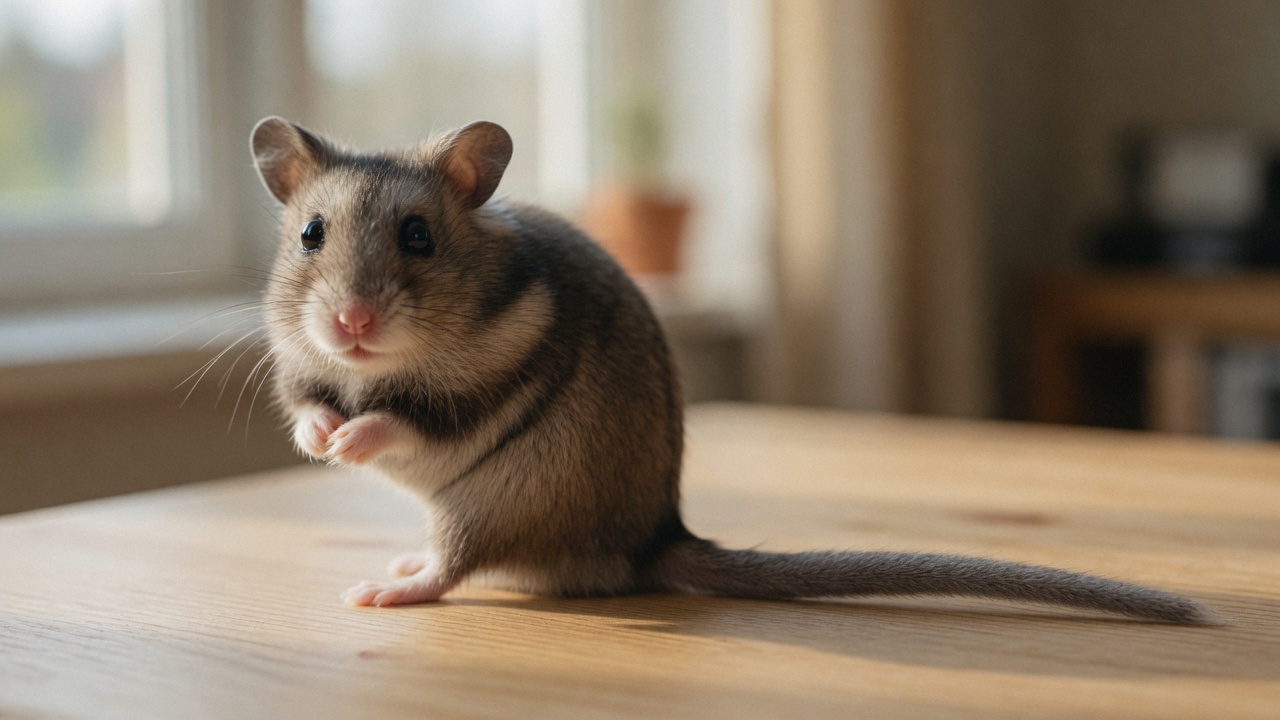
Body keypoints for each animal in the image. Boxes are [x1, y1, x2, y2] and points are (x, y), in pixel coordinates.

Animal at [250, 116, 1210, 623]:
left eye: (418, 236)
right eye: (311, 234)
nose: (351, 324)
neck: (371, 366)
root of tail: (656, 543)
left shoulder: (483, 384)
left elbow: (410, 416)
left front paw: (353, 439)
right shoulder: (298, 367)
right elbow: (304, 404)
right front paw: (322, 435)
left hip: (491, 502)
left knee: (456, 568)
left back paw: (388, 588)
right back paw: (400, 559)